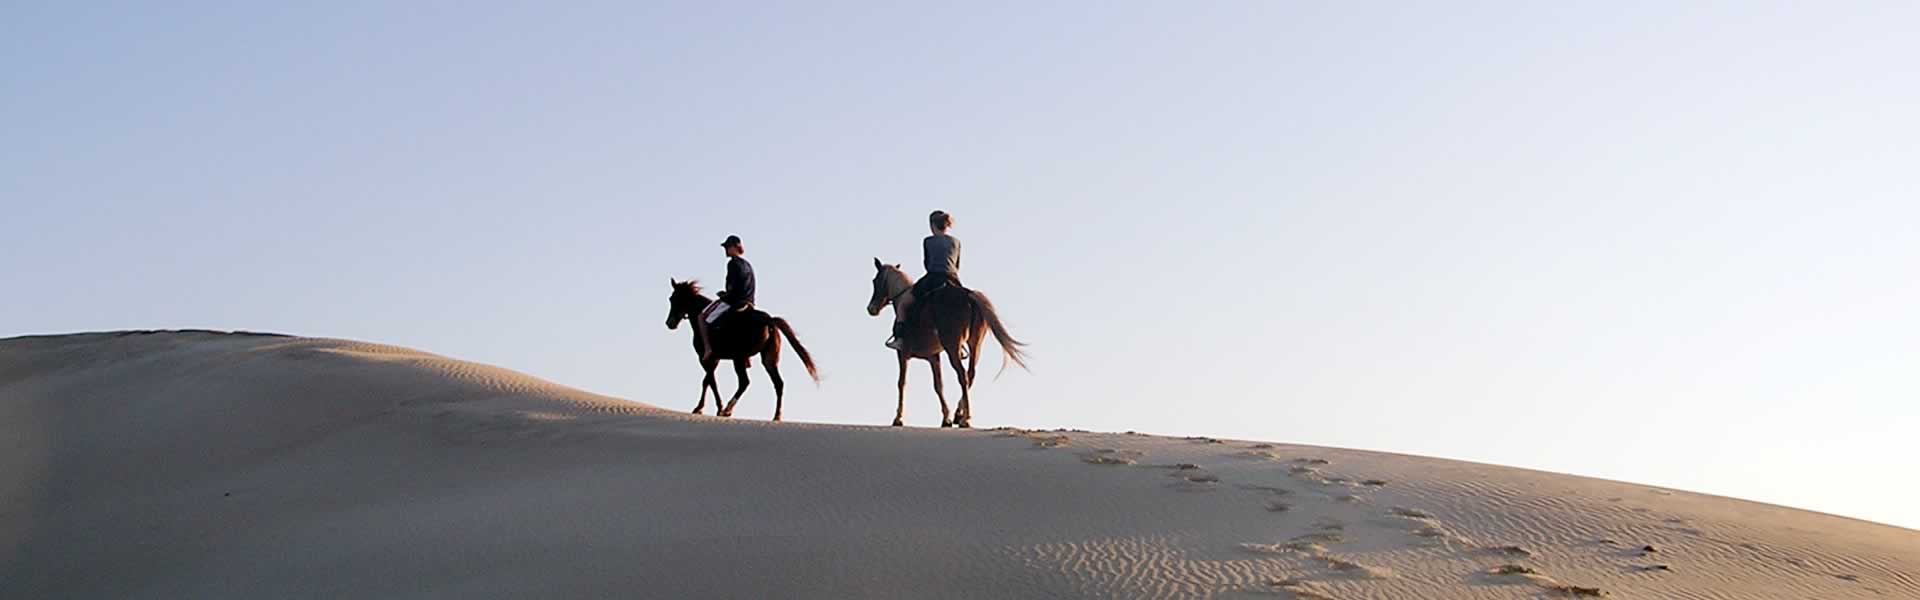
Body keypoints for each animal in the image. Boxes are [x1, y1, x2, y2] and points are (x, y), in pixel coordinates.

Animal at [668, 278, 817, 419]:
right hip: (768, 359)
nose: (669, 323)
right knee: (778, 383)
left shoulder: (705, 358)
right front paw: (703, 407)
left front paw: (710, 407)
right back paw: (776, 416)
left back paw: (727, 409)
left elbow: (710, 381)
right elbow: (707, 381)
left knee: (744, 382)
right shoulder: (715, 359)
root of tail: (768, 320)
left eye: (673, 299)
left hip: (738, 358)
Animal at [867, 259, 1029, 428]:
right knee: (970, 374)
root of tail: (969, 295)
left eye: (875, 281)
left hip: (952, 347)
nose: (871, 309)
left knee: (962, 375)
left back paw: (966, 418)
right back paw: (960, 414)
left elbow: (901, 383)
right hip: (974, 344)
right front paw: (946, 418)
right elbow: (939, 386)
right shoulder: (933, 357)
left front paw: (898, 418)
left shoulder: (902, 354)